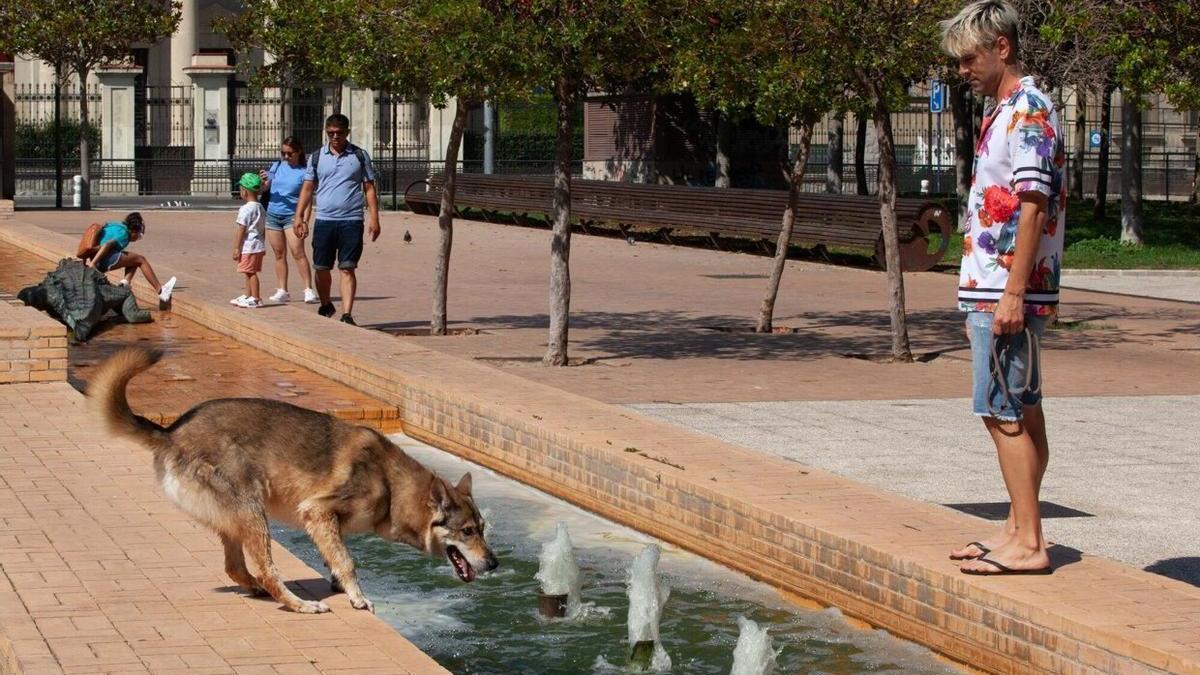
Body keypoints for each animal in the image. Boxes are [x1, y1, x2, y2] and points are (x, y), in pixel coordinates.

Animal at [90, 343, 496, 612]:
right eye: (466, 532)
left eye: (483, 528)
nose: (495, 564)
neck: (392, 485)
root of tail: (172, 433)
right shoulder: (317, 511)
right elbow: (348, 562)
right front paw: (357, 597)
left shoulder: (327, 526)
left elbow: (336, 559)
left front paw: (339, 584)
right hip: (254, 513)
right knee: (268, 571)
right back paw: (298, 604)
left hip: (236, 521)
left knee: (236, 567)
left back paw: (258, 590)